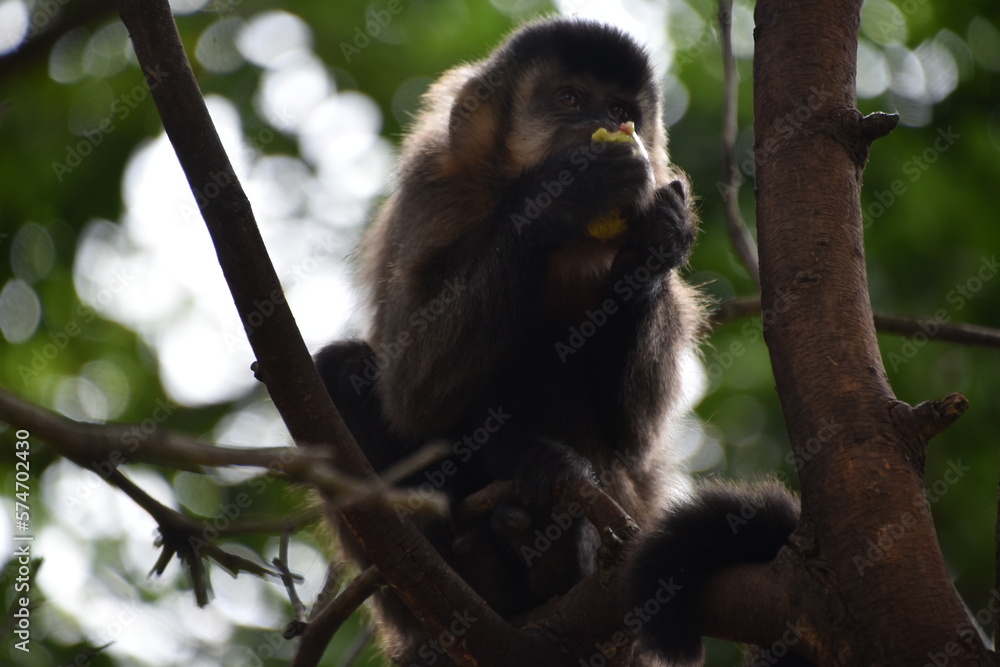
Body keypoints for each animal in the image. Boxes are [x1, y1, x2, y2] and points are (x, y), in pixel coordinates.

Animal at [316, 17, 803, 666]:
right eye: (569, 98)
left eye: (619, 109)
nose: (598, 122)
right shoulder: (434, 186)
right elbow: (414, 398)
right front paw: (561, 195)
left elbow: (631, 438)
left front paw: (654, 241)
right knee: (342, 371)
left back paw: (553, 555)